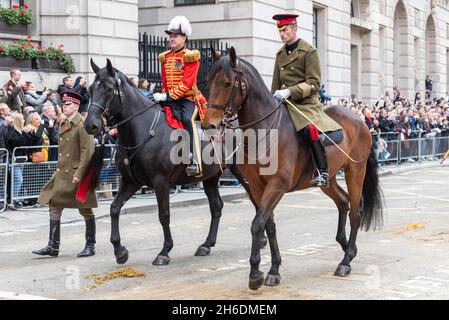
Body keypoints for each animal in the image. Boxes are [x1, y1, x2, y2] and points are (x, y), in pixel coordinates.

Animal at [82, 60, 264, 268]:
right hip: (210, 176)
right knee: (216, 206)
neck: (144, 128)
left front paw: (164, 251)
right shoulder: (131, 182)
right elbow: (114, 208)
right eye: (90, 88)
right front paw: (120, 250)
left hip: (241, 172)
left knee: (255, 199)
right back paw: (206, 244)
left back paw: (262, 238)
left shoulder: (160, 182)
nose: (91, 125)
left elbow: (164, 215)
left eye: (109, 89)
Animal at [203, 47, 382, 290]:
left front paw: (255, 273)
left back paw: (345, 261)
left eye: (228, 83)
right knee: (343, 202)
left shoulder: (277, 185)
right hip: (328, 179)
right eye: (208, 81)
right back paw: (347, 247)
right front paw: (273, 269)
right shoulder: (258, 187)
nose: (208, 124)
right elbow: (268, 225)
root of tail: (361, 120)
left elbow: (257, 224)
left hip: (356, 171)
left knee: (356, 211)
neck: (264, 131)